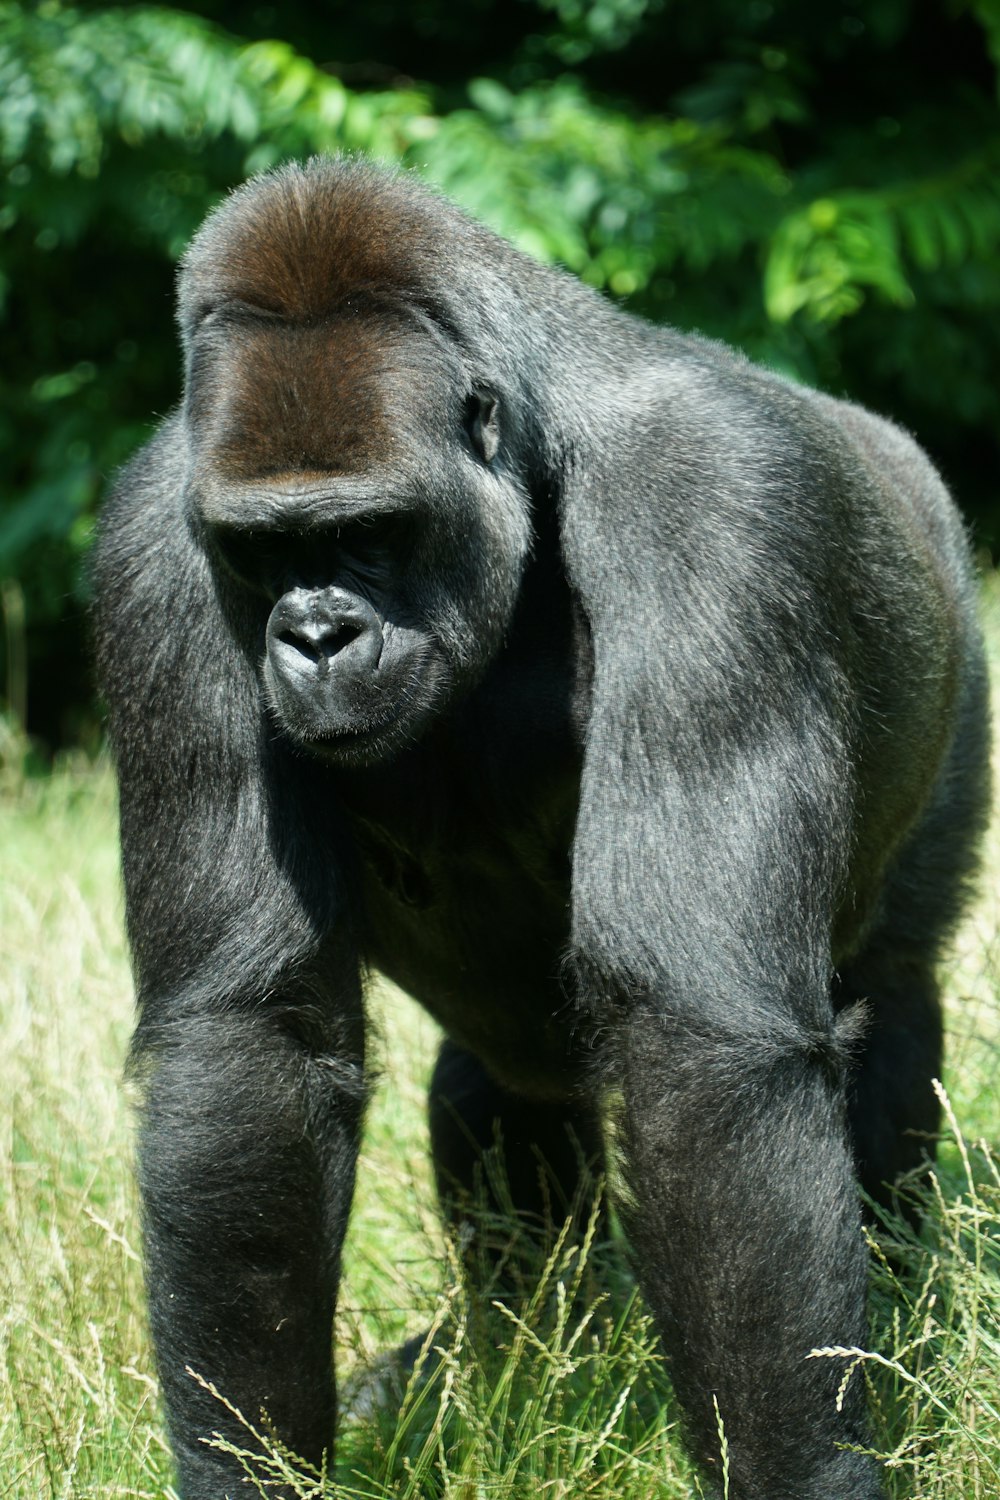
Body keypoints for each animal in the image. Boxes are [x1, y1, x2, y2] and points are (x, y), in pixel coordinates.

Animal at [95, 158, 995, 1494]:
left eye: (368, 532)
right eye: (262, 550)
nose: (315, 637)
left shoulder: (714, 511)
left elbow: (703, 1053)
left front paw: (800, 1470)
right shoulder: (153, 555)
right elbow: (251, 1043)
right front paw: (250, 1469)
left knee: (889, 988)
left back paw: (905, 1313)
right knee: (496, 1082)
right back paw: (516, 1354)